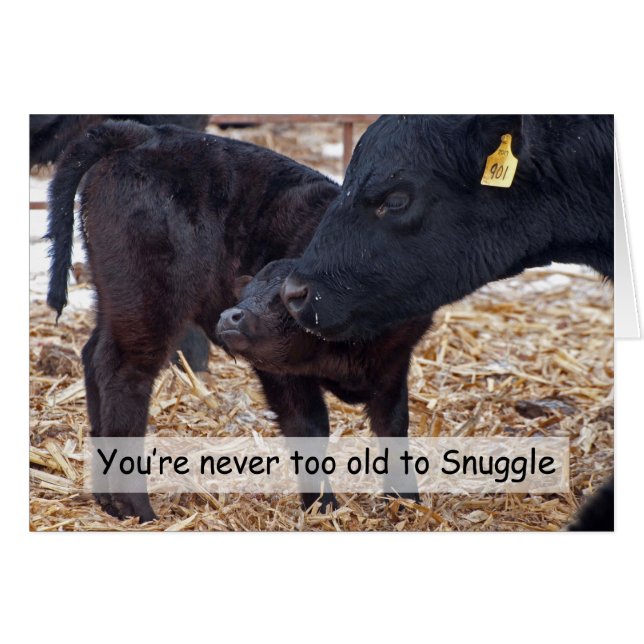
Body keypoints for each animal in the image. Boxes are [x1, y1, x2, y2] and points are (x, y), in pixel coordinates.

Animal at [46, 120, 339, 521]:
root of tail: (140, 135)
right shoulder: (280, 362)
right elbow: (309, 424)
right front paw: (323, 507)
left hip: (116, 298)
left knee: (95, 355)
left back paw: (109, 502)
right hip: (150, 297)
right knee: (124, 372)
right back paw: (138, 508)